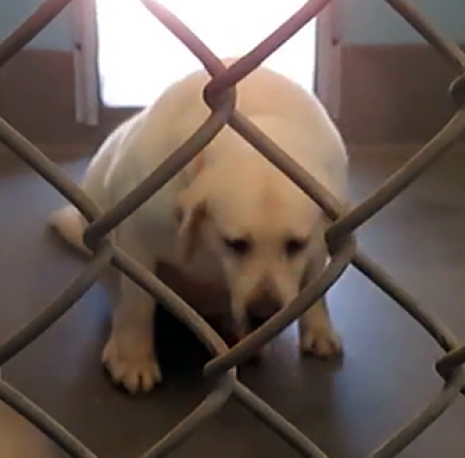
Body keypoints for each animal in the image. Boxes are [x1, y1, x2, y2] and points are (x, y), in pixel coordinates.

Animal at [49, 57, 348, 394]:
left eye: (295, 244)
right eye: (235, 244)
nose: (263, 313)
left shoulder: (318, 246)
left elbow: (316, 288)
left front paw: (319, 329)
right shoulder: (136, 242)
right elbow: (138, 305)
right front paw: (133, 359)